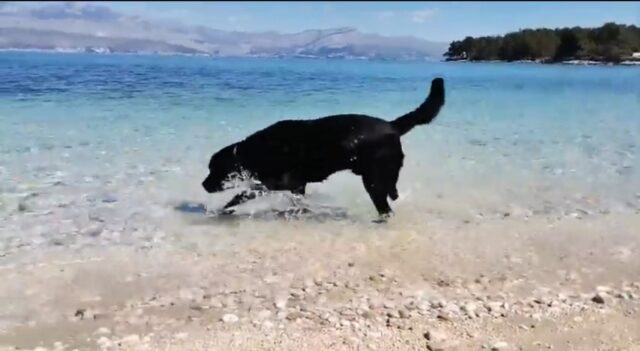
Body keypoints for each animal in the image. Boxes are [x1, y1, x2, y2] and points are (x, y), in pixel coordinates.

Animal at [204, 78, 444, 219]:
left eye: (214, 169)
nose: (203, 184)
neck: (256, 151)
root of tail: (392, 125)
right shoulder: (297, 185)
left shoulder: (280, 182)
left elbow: (245, 192)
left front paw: (227, 207)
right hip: (386, 174)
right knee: (392, 193)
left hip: (373, 179)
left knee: (384, 205)